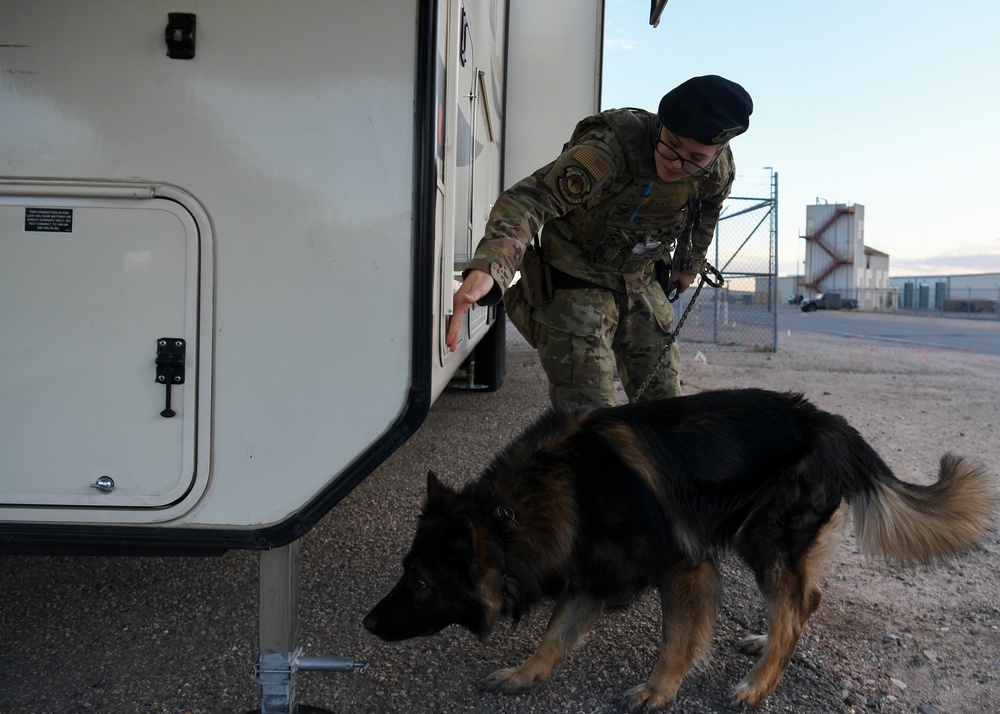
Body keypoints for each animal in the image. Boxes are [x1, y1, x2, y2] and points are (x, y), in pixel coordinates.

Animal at [366, 390, 992, 708]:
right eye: (405, 571)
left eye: (420, 582)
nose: (367, 623)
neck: (514, 514)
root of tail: (827, 421)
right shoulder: (591, 572)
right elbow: (554, 634)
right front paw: (525, 674)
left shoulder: (683, 566)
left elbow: (675, 640)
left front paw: (658, 690)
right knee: (806, 598)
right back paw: (764, 643)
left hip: (763, 537)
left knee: (793, 611)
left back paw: (758, 684)